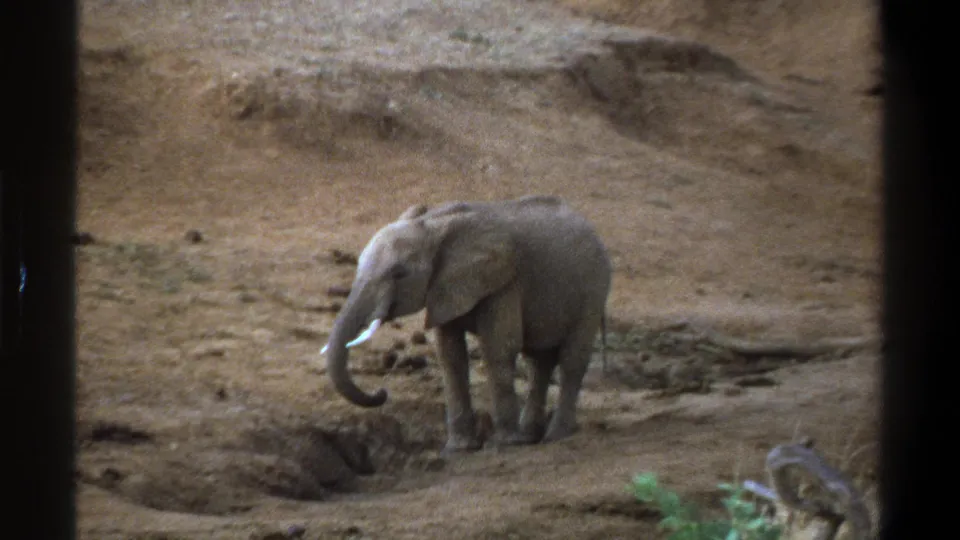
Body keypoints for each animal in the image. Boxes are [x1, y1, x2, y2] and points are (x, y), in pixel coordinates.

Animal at [320, 195, 612, 453]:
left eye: (399, 273)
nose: (381, 393)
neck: (433, 225)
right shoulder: (444, 286)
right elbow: (451, 357)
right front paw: (459, 448)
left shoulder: (503, 281)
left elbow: (498, 348)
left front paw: (505, 444)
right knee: (539, 361)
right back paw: (531, 435)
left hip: (593, 289)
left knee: (572, 360)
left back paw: (556, 436)